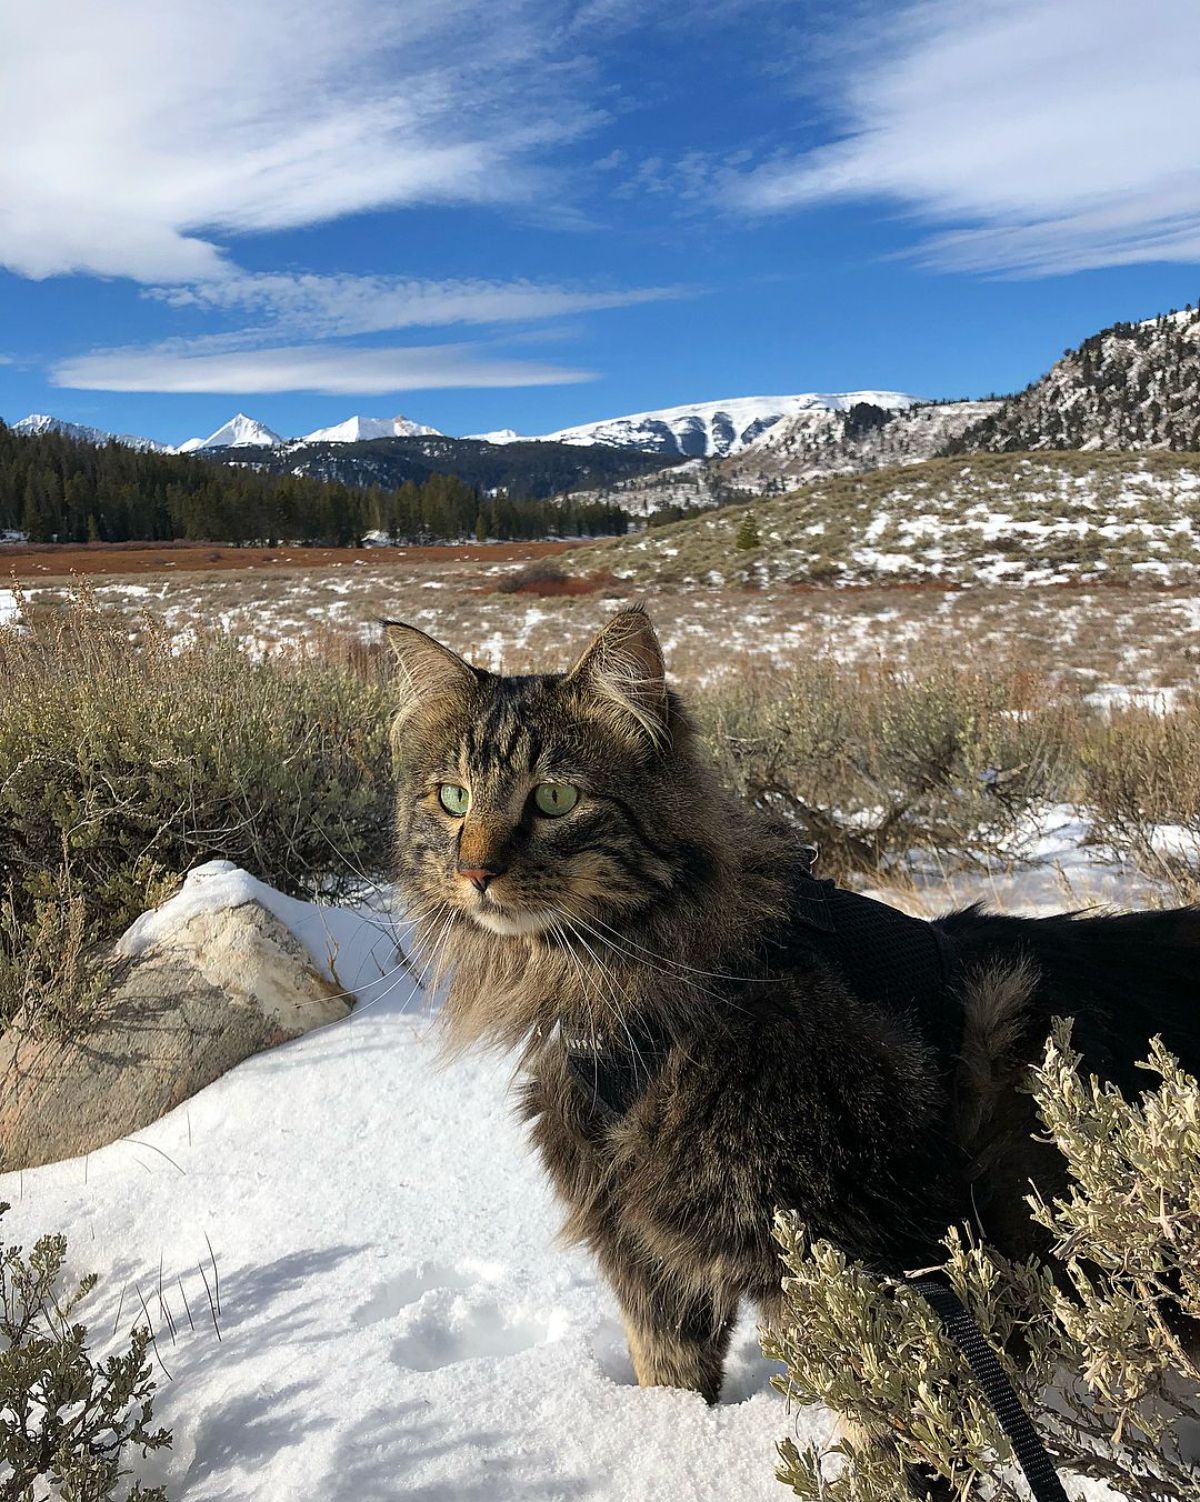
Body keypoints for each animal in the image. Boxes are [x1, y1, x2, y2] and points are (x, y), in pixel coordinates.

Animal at [387, 603, 1200, 1399]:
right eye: (453, 798)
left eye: (555, 799)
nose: (475, 871)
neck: (625, 1001)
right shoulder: (647, 1263)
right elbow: (672, 1387)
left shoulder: (863, 1253)